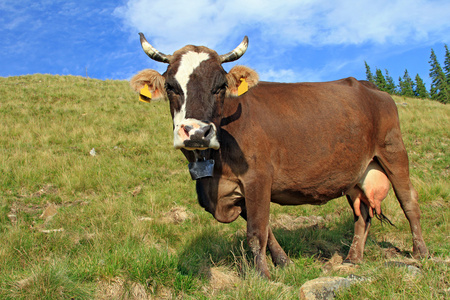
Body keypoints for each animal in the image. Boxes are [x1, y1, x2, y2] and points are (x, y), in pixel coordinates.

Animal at [130, 33, 428, 278]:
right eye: (171, 87)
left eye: (220, 86)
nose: (196, 132)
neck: (213, 176)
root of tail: (370, 86)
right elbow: (265, 229)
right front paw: (284, 263)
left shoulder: (258, 177)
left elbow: (256, 232)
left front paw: (263, 276)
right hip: (356, 172)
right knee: (362, 213)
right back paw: (352, 259)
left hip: (393, 151)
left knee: (408, 201)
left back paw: (421, 253)